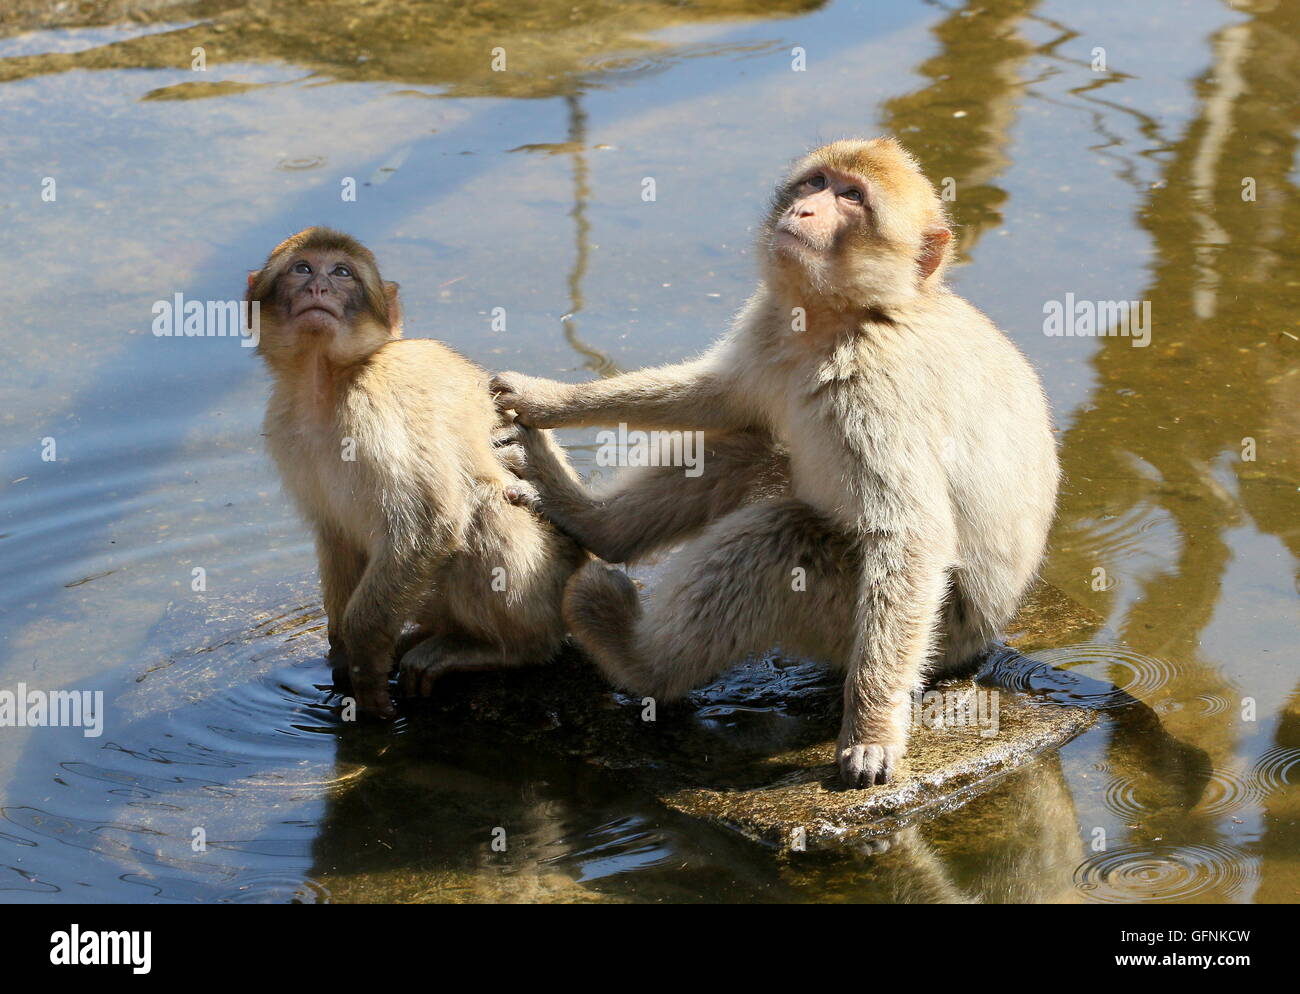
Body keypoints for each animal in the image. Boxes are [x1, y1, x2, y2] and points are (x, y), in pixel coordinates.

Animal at [248, 227, 586, 718]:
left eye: (342, 272)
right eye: (303, 268)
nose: (319, 288)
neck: (325, 381)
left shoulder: (375, 405)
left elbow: (427, 523)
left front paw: (365, 663)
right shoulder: (285, 424)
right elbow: (334, 534)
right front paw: (340, 652)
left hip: (546, 594)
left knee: (481, 502)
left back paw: (507, 648)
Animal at [491, 137, 1060, 788]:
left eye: (852, 197)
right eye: (816, 183)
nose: (806, 209)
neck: (844, 320)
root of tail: (988, 636)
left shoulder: (880, 391)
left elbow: (910, 536)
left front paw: (871, 733)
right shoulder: (770, 325)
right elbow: (717, 398)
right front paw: (549, 399)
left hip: (910, 631)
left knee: (781, 537)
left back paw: (641, 663)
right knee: (752, 449)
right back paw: (595, 525)